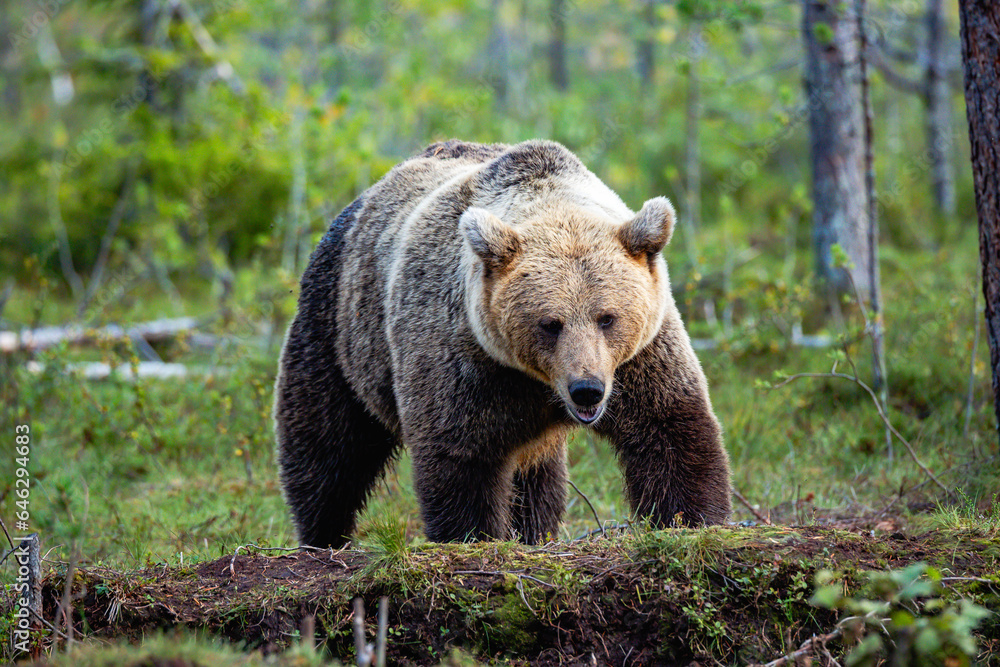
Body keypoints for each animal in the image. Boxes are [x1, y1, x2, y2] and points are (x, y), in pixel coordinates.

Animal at [274, 139, 731, 547]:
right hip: (340, 324)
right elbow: (460, 454)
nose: (587, 390)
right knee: (326, 440)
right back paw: (322, 535)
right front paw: (473, 535)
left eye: (607, 318)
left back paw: (535, 532)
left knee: (537, 479)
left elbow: (670, 427)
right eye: (551, 324)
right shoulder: (462, 354)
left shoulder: (642, 355)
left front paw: (691, 519)